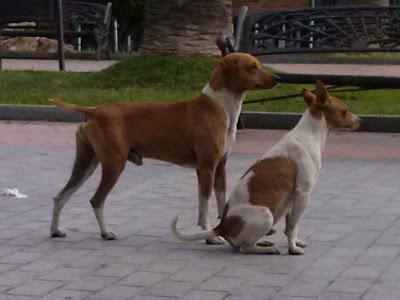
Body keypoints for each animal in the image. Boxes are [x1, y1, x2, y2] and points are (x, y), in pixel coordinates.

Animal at [48, 52, 278, 243]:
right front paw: (211, 236)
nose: (278, 78)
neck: (219, 107)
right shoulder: (206, 168)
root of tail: (94, 110)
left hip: (86, 164)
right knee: (96, 200)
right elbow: (204, 207)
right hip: (113, 164)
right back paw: (106, 233)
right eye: (252, 66)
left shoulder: (220, 168)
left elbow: (221, 202)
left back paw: (55, 230)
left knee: (60, 196)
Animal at [170, 81, 360, 254]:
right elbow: (293, 226)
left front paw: (295, 242)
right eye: (345, 111)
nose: (360, 120)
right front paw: (293, 248)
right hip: (266, 214)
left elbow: (290, 225)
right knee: (244, 248)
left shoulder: (292, 198)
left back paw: (263, 243)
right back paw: (266, 249)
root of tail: (222, 226)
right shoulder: (302, 193)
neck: (309, 135)